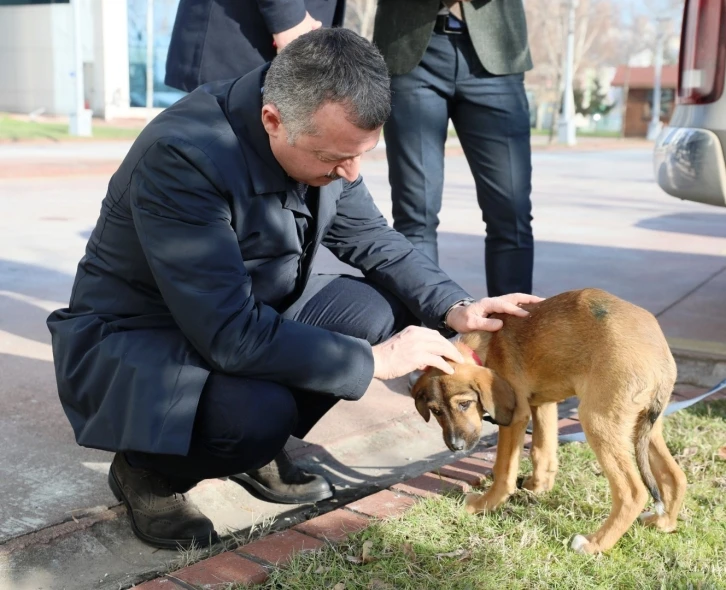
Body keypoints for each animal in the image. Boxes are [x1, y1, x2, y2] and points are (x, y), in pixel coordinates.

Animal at [416, 290, 688, 556]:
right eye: (436, 411)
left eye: (465, 404)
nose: (456, 447)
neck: (484, 347)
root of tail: (660, 354)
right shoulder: (543, 404)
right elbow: (541, 450)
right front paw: (538, 487)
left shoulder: (516, 415)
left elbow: (503, 470)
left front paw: (485, 504)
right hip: (643, 425)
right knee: (674, 475)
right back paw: (662, 523)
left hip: (598, 421)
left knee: (632, 492)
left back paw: (594, 544)